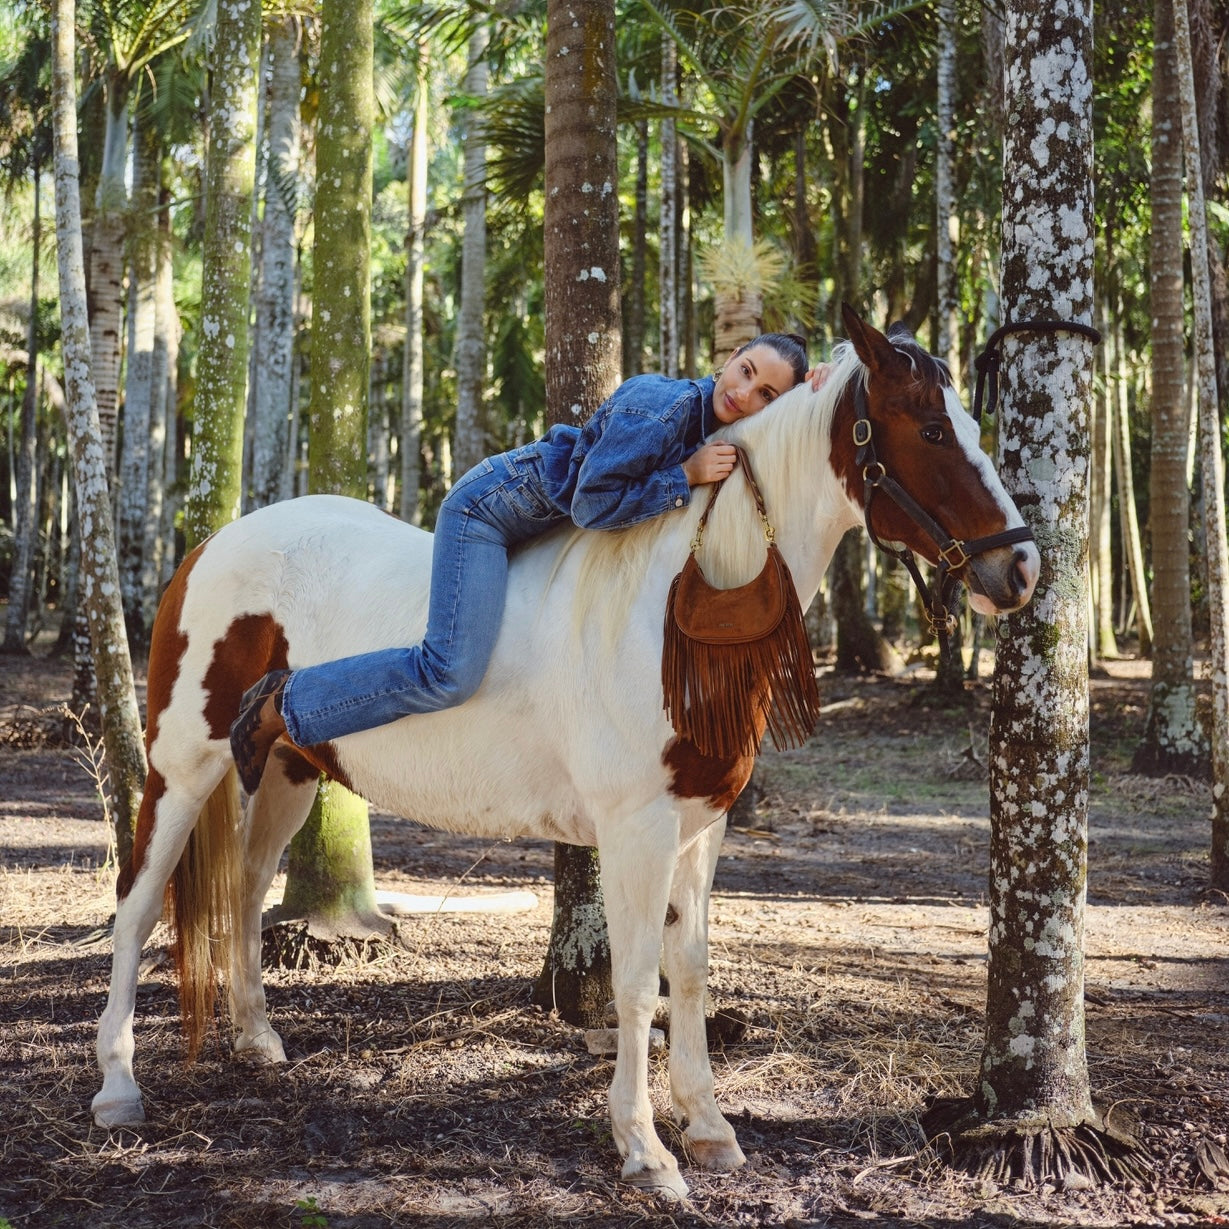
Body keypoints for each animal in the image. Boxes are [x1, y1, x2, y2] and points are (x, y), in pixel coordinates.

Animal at [93, 309, 1037, 1199]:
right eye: (929, 429)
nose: (1021, 568)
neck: (672, 604)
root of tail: (212, 545)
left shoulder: (701, 827)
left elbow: (690, 971)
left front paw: (709, 1127)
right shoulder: (635, 832)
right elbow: (636, 984)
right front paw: (647, 1150)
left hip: (290, 773)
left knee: (246, 888)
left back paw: (256, 1037)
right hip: (180, 769)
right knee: (137, 904)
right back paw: (117, 1087)